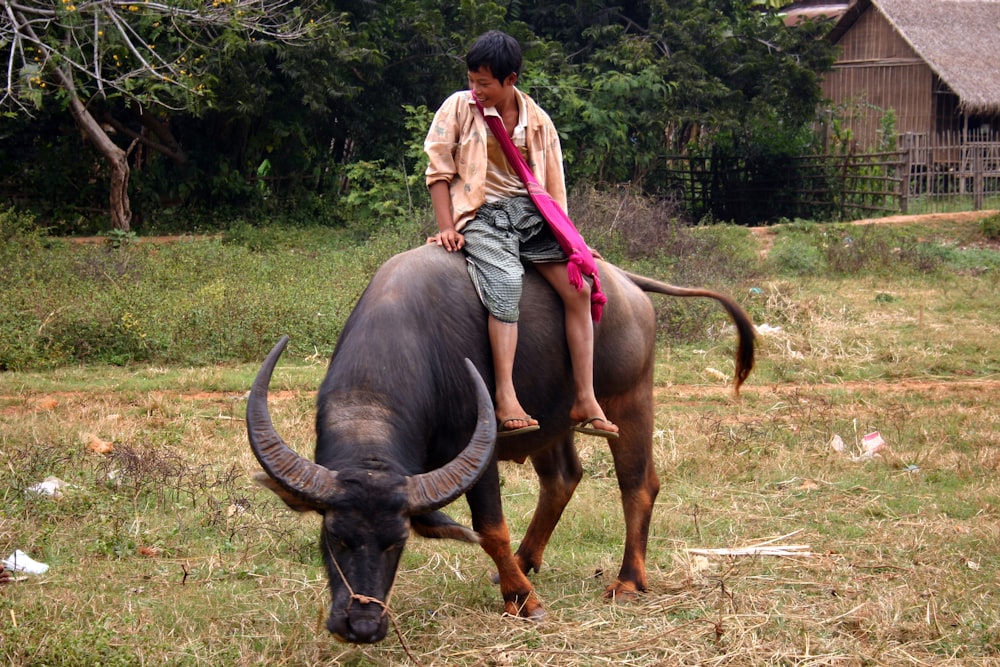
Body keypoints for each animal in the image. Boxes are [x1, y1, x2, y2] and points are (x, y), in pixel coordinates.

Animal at [248, 243, 752, 644]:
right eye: (333, 536)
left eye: (398, 542)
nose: (362, 626)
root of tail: (626, 283)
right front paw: (518, 584)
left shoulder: (477, 450)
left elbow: (491, 527)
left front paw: (525, 602)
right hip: (552, 420)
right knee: (564, 478)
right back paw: (525, 562)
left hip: (629, 399)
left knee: (638, 484)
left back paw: (627, 581)